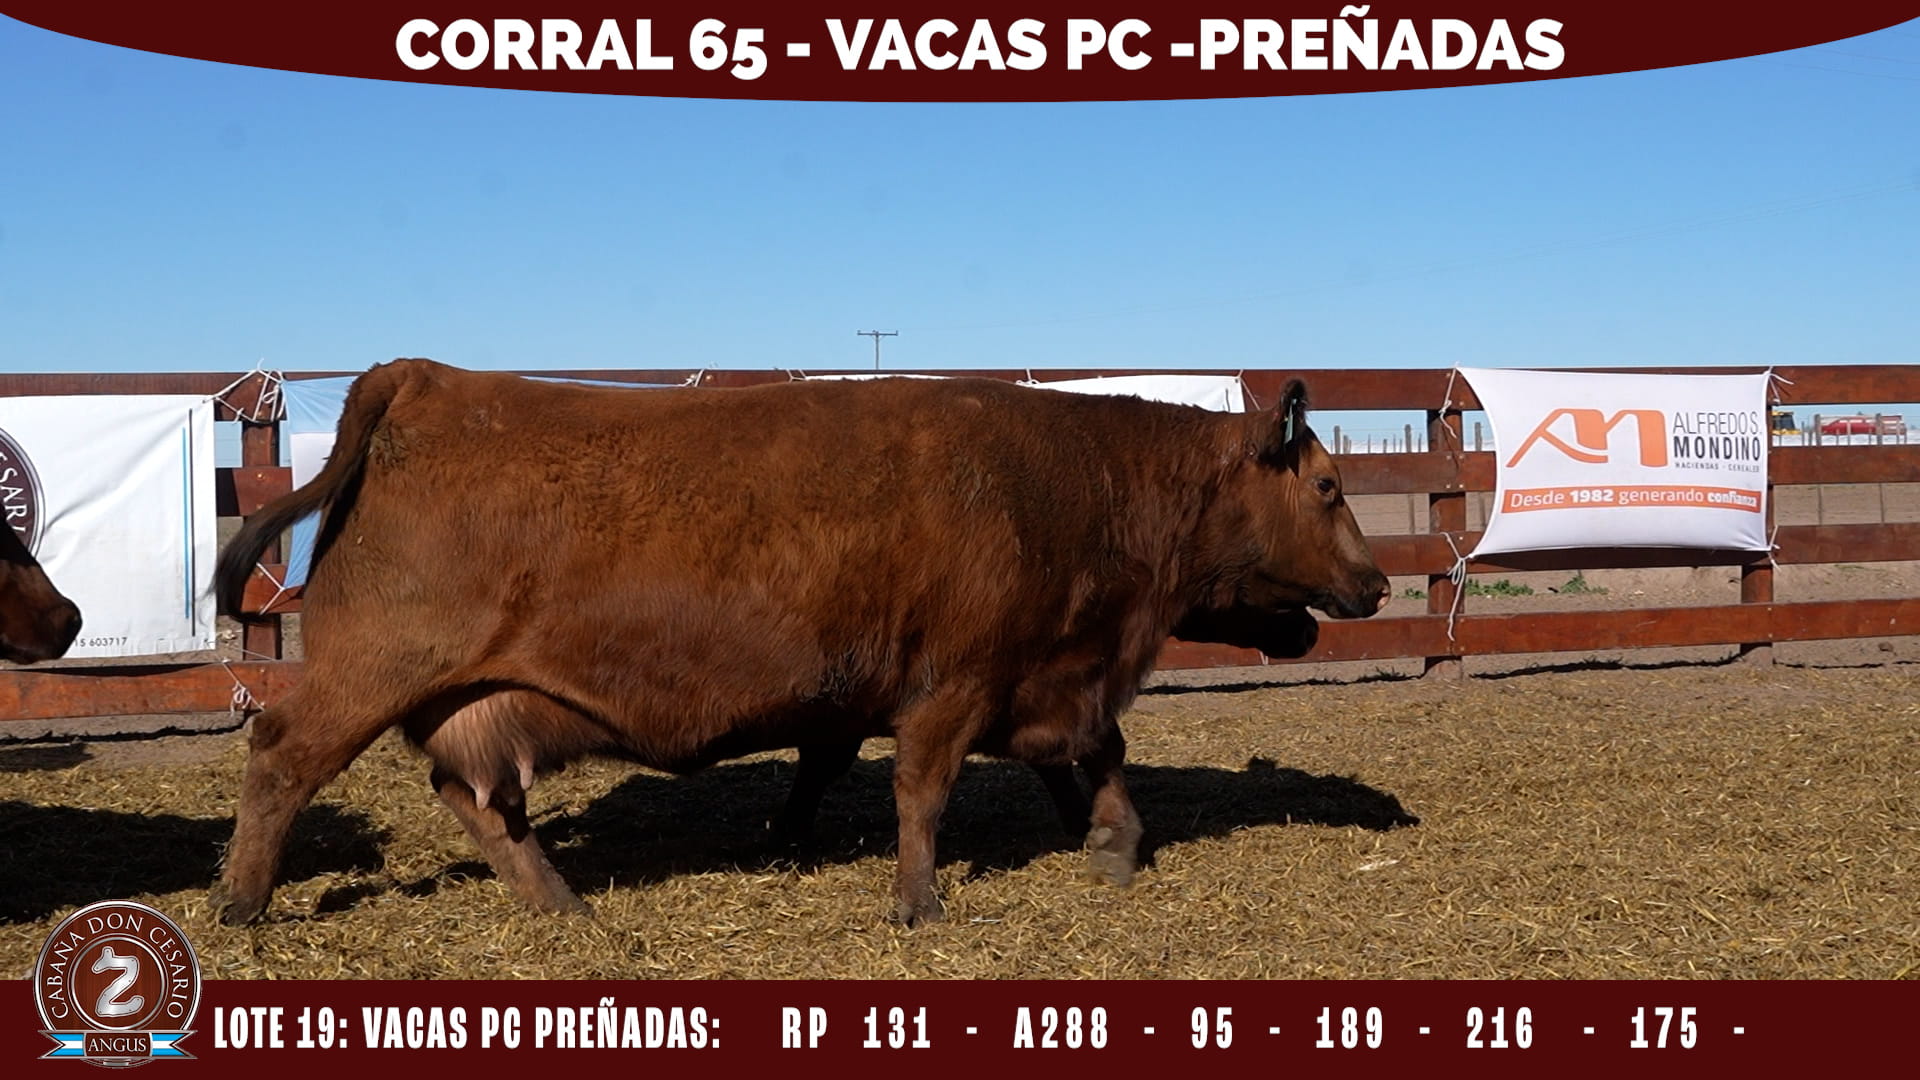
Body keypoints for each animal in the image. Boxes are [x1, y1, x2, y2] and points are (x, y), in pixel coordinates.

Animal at [211, 360, 1388, 926]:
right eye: (1330, 486)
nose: (1378, 582)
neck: (1069, 482)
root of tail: (420, 376)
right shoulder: (955, 684)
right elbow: (922, 792)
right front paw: (920, 903)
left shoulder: (1036, 677)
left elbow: (1093, 762)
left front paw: (1117, 845)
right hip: (371, 673)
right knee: (280, 755)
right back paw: (241, 902)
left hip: (458, 700)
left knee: (481, 802)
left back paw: (559, 903)